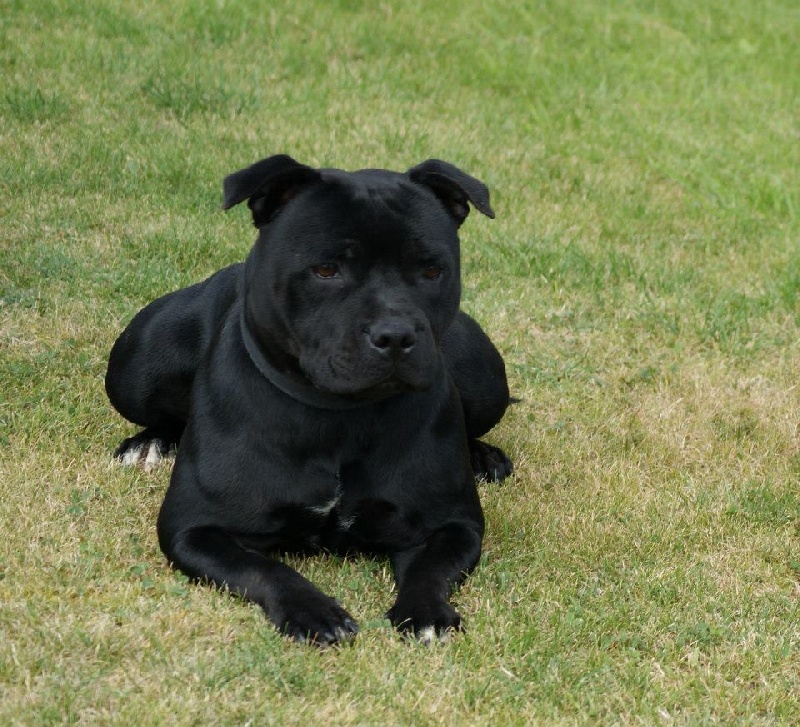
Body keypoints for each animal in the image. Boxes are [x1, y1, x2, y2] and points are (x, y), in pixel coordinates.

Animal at [106, 156, 512, 644]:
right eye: (326, 270)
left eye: (432, 271)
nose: (395, 335)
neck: (337, 415)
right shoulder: (194, 528)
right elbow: (264, 569)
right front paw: (313, 612)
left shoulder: (452, 524)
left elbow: (429, 571)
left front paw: (427, 613)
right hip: (139, 361)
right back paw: (149, 443)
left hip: (484, 375)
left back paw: (483, 457)